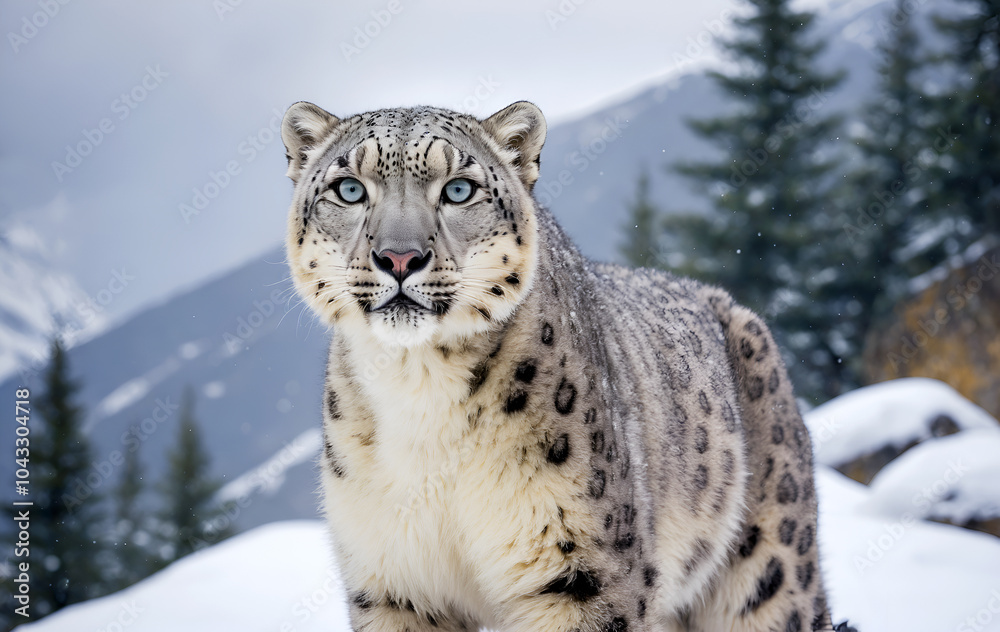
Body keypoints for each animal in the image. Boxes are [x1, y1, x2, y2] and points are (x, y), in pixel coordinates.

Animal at [280, 99, 836, 632]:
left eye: (458, 189)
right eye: (349, 188)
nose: (399, 257)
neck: (417, 387)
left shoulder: (581, 570)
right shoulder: (396, 583)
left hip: (769, 575)